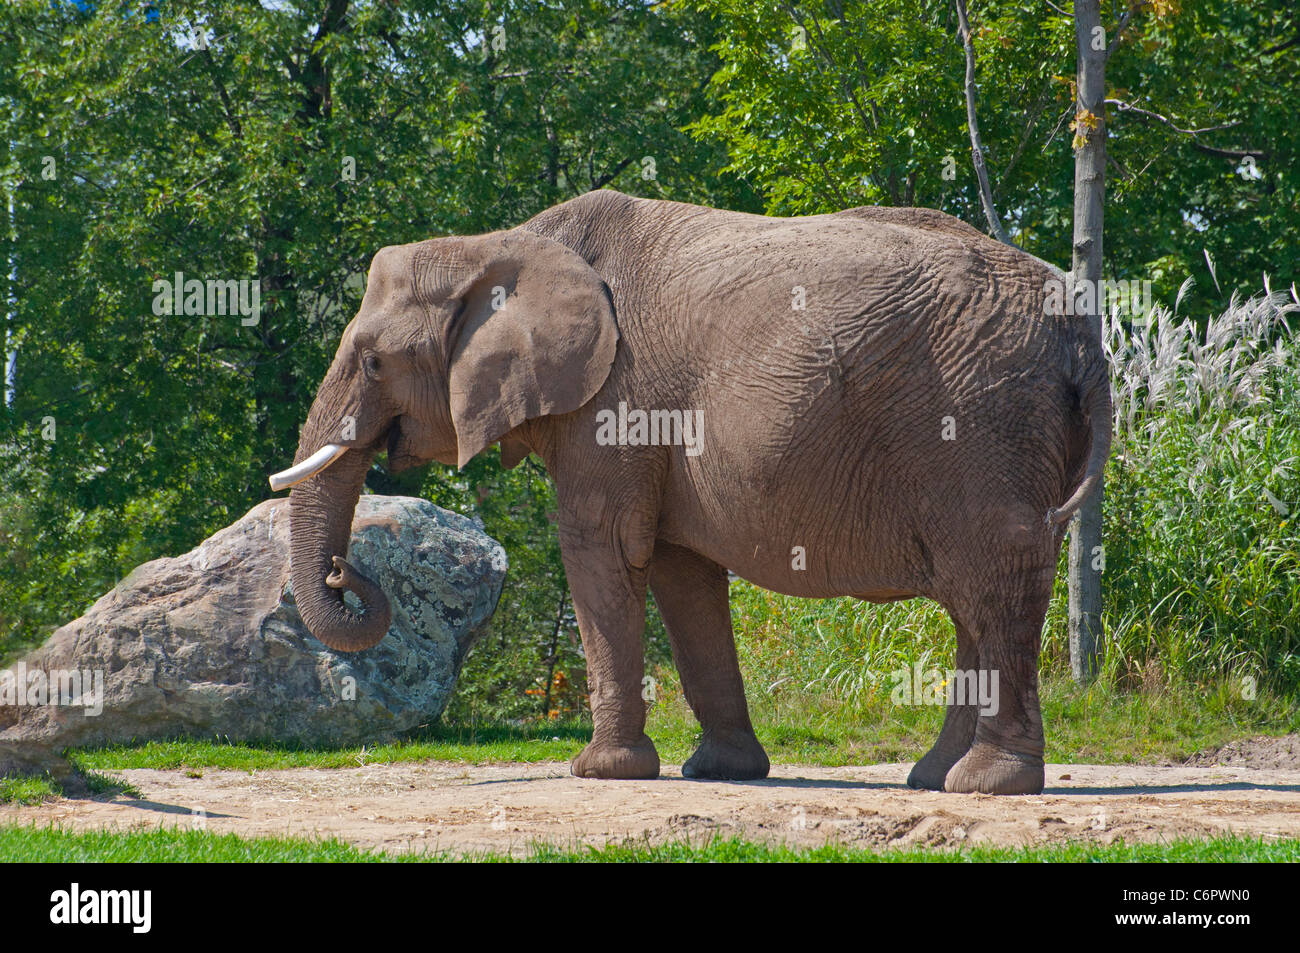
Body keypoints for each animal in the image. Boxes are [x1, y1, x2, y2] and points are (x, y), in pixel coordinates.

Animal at [271, 187, 1107, 795]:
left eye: (373, 361)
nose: (346, 572)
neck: (501, 242)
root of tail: (1081, 333)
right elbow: (681, 572)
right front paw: (721, 771)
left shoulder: (613, 405)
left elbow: (602, 551)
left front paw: (600, 772)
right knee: (976, 598)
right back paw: (934, 777)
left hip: (982, 425)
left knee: (992, 585)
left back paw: (985, 784)